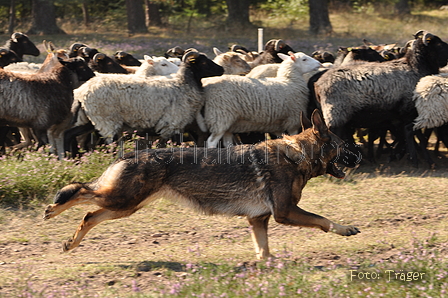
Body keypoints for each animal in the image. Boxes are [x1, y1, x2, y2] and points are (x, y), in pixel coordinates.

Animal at [44, 109, 360, 258]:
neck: (297, 154)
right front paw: (345, 228)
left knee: (89, 214)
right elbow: (322, 219)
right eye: (342, 145)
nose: (358, 157)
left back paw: (71, 242)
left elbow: (264, 250)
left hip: (126, 206)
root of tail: (132, 154)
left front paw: (267, 266)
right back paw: (53, 210)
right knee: (81, 192)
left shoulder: (259, 220)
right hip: (123, 200)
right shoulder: (286, 213)